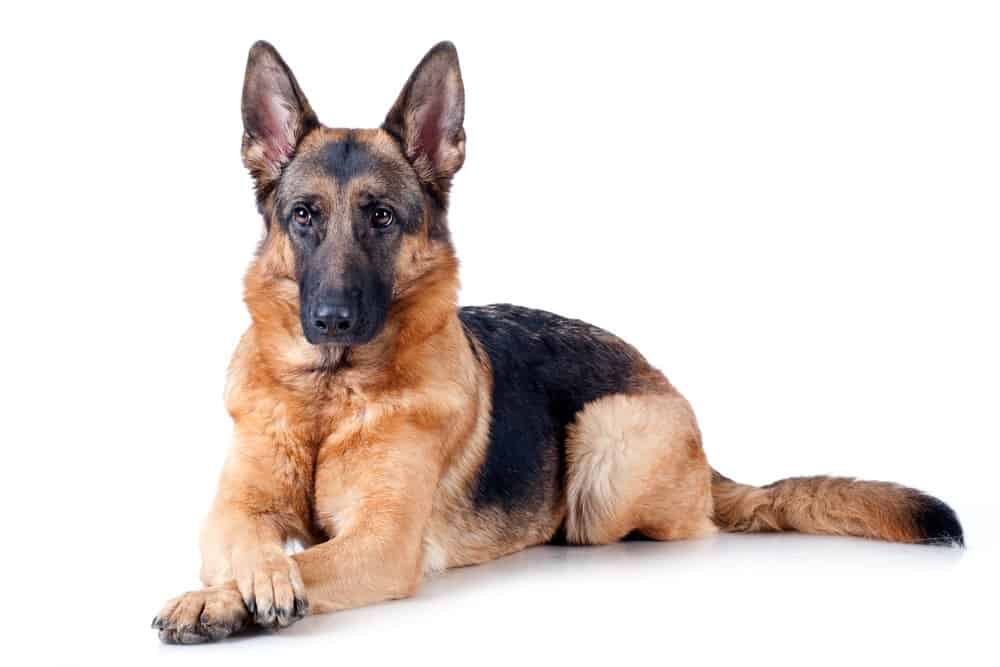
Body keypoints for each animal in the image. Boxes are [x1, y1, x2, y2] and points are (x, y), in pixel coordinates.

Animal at [152, 40, 964, 640]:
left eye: (381, 217)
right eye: (304, 216)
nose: (330, 320)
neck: (329, 396)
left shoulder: (381, 541)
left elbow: (306, 565)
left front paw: (228, 597)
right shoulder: (233, 511)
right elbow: (249, 547)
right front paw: (229, 588)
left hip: (605, 443)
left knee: (678, 523)